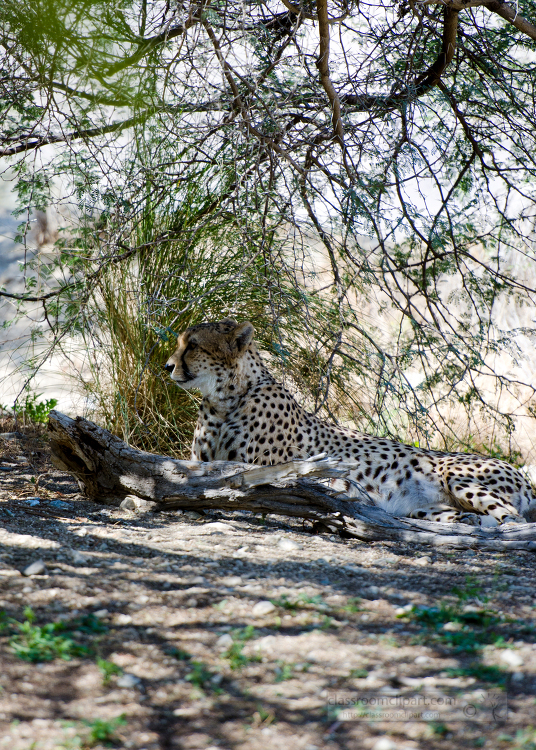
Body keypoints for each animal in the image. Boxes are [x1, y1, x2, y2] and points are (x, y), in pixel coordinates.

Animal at [164, 320, 536, 524]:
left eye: (192, 345)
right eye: (182, 343)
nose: (167, 366)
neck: (226, 398)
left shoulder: (264, 470)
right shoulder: (199, 460)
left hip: (456, 476)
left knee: (511, 519)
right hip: (423, 508)